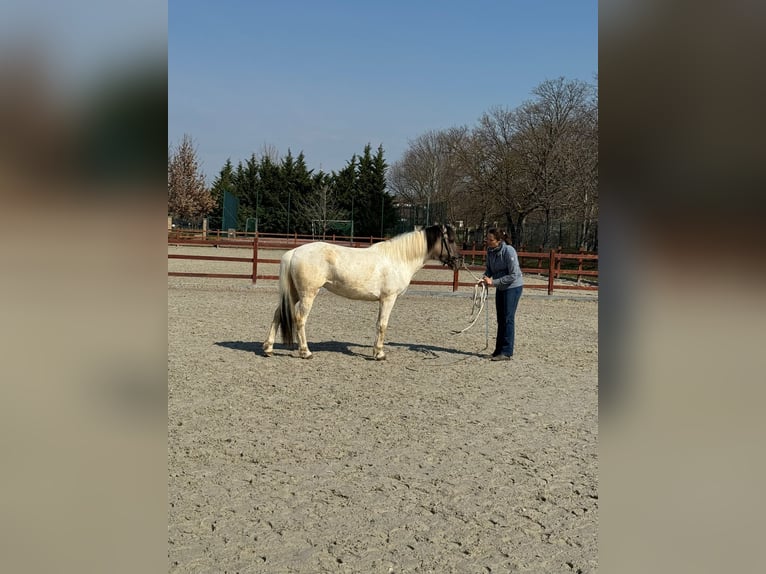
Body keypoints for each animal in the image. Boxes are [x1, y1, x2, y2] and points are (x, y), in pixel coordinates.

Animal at [263, 224, 462, 360]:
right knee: (300, 319)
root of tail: (294, 252)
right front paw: (379, 354)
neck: (398, 258)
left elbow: (379, 324)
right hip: (308, 294)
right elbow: (382, 325)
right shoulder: (388, 299)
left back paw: (268, 348)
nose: (459, 261)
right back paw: (305, 352)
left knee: (278, 314)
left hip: (294, 293)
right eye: (451, 240)